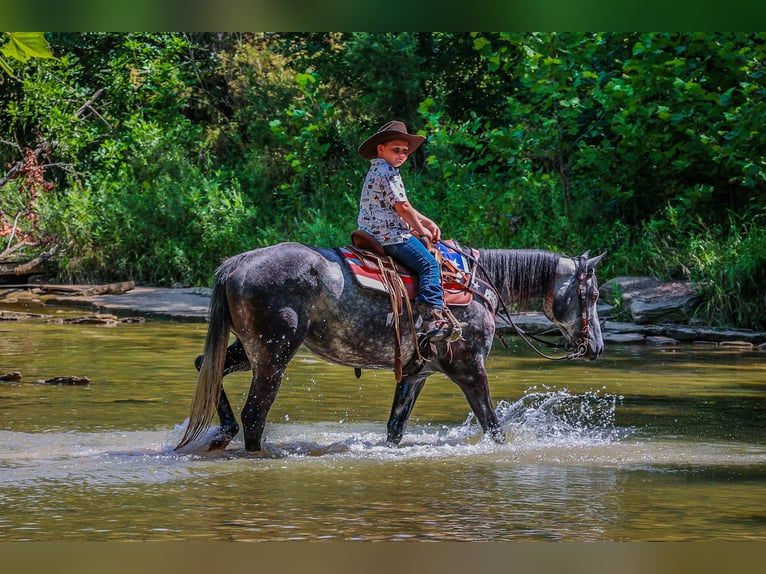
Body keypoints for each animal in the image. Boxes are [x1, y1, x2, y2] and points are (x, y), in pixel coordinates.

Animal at [174, 241, 608, 452]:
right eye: (593, 294)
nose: (597, 347)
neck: (478, 286)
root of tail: (237, 264)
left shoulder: (417, 374)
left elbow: (395, 429)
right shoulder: (470, 369)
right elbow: (493, 426)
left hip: (249, 352)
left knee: (205, 365)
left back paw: (222, 432)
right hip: (273, 354)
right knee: (254, 415)